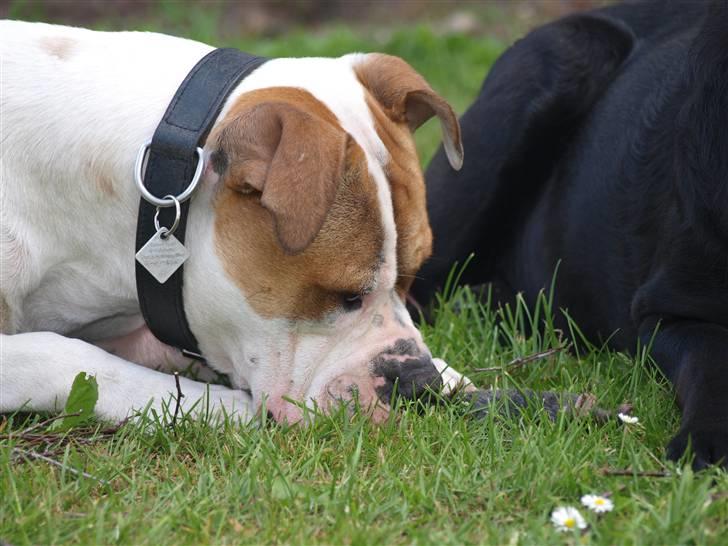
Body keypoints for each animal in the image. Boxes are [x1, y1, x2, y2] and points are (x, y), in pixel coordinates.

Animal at [0, 20, 470, 420]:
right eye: (348, 296)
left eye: (411, 277)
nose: (419, 383)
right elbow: (62, 355)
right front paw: (214, 405)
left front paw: (446, 372)